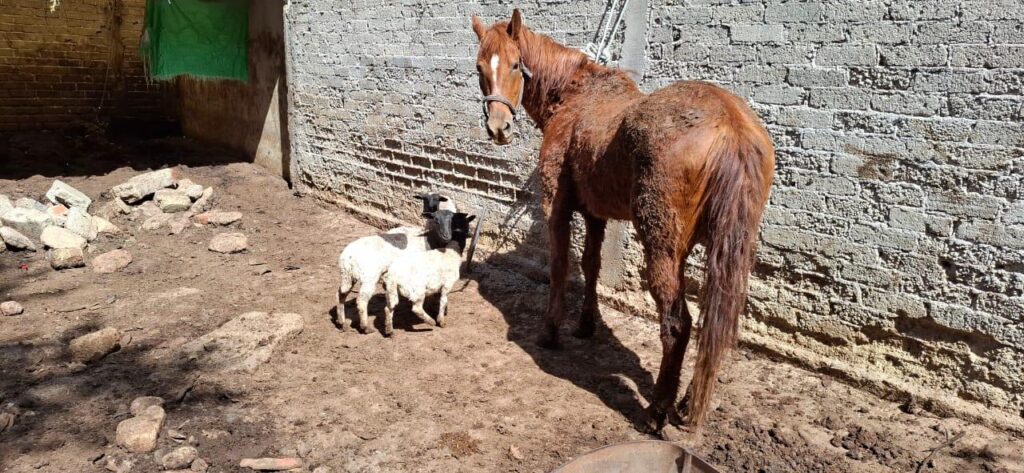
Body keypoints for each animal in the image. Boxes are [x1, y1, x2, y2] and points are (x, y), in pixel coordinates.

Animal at [468, 9, 770, 430]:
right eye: (480, 67)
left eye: (515, 64)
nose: (498, 128)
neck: (575, 98)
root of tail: (732, 128)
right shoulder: (596, 214)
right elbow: (591, 265)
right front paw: (586, 325)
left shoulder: (556, 207)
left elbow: (561, 266)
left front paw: (550, 331)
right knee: (714, 321)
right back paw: (687, 404)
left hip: (663, 247)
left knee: (677, 325)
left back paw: (657, 410)